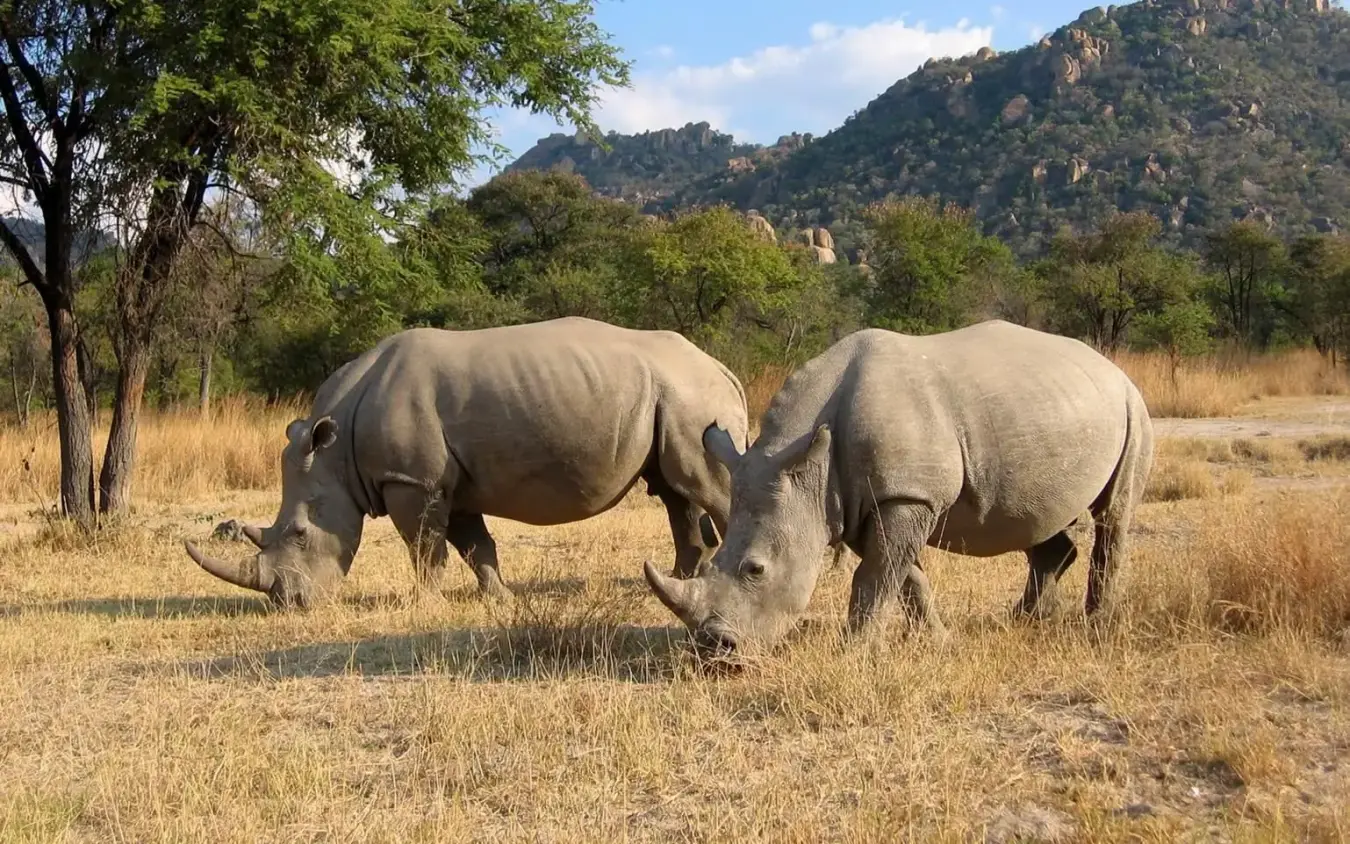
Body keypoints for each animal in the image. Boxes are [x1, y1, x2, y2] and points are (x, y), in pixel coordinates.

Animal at [185, 317, 749, 608]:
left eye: (301, 534)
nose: (290, 603)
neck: (336, 449)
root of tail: (722, 367)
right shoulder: (445, 481)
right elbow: (474, 544)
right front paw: (499, 599)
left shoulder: (412, 480)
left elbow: (424, 547)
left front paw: (424, 605)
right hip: (673, 397)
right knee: (675, 489)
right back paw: (680, 581)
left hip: (693, 398)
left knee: (705, 488)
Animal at [644, 320, 1154, 655]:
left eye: (756, 570)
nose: (716, 651)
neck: (807, 469)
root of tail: (1111, 367)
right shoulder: (863, 503)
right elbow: (904, 575)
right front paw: (938, 640)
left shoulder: (906, 496)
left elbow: (875, 577)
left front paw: (853, 652)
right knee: (1037, 519)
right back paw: (1024, 620)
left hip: (1132, 406)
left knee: (1114, 515)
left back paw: (1095, 627)